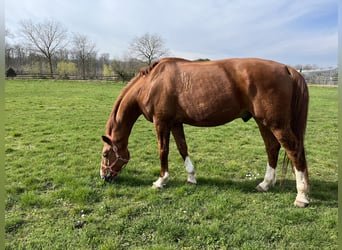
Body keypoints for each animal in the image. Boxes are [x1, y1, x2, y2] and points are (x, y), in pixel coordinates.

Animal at [99, 57, 310, 208]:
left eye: (106, 154)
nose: (104, 177)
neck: (151, 83)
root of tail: (286, 68)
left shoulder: (162, 123)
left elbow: (163, 150)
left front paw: (161, 180)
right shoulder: (176, 123)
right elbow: (182, 148)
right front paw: (191, 178)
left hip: (276, 124)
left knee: (294, 151)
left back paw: (301, 196)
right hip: (263, 122)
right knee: (272, 148)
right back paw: (265, 184)